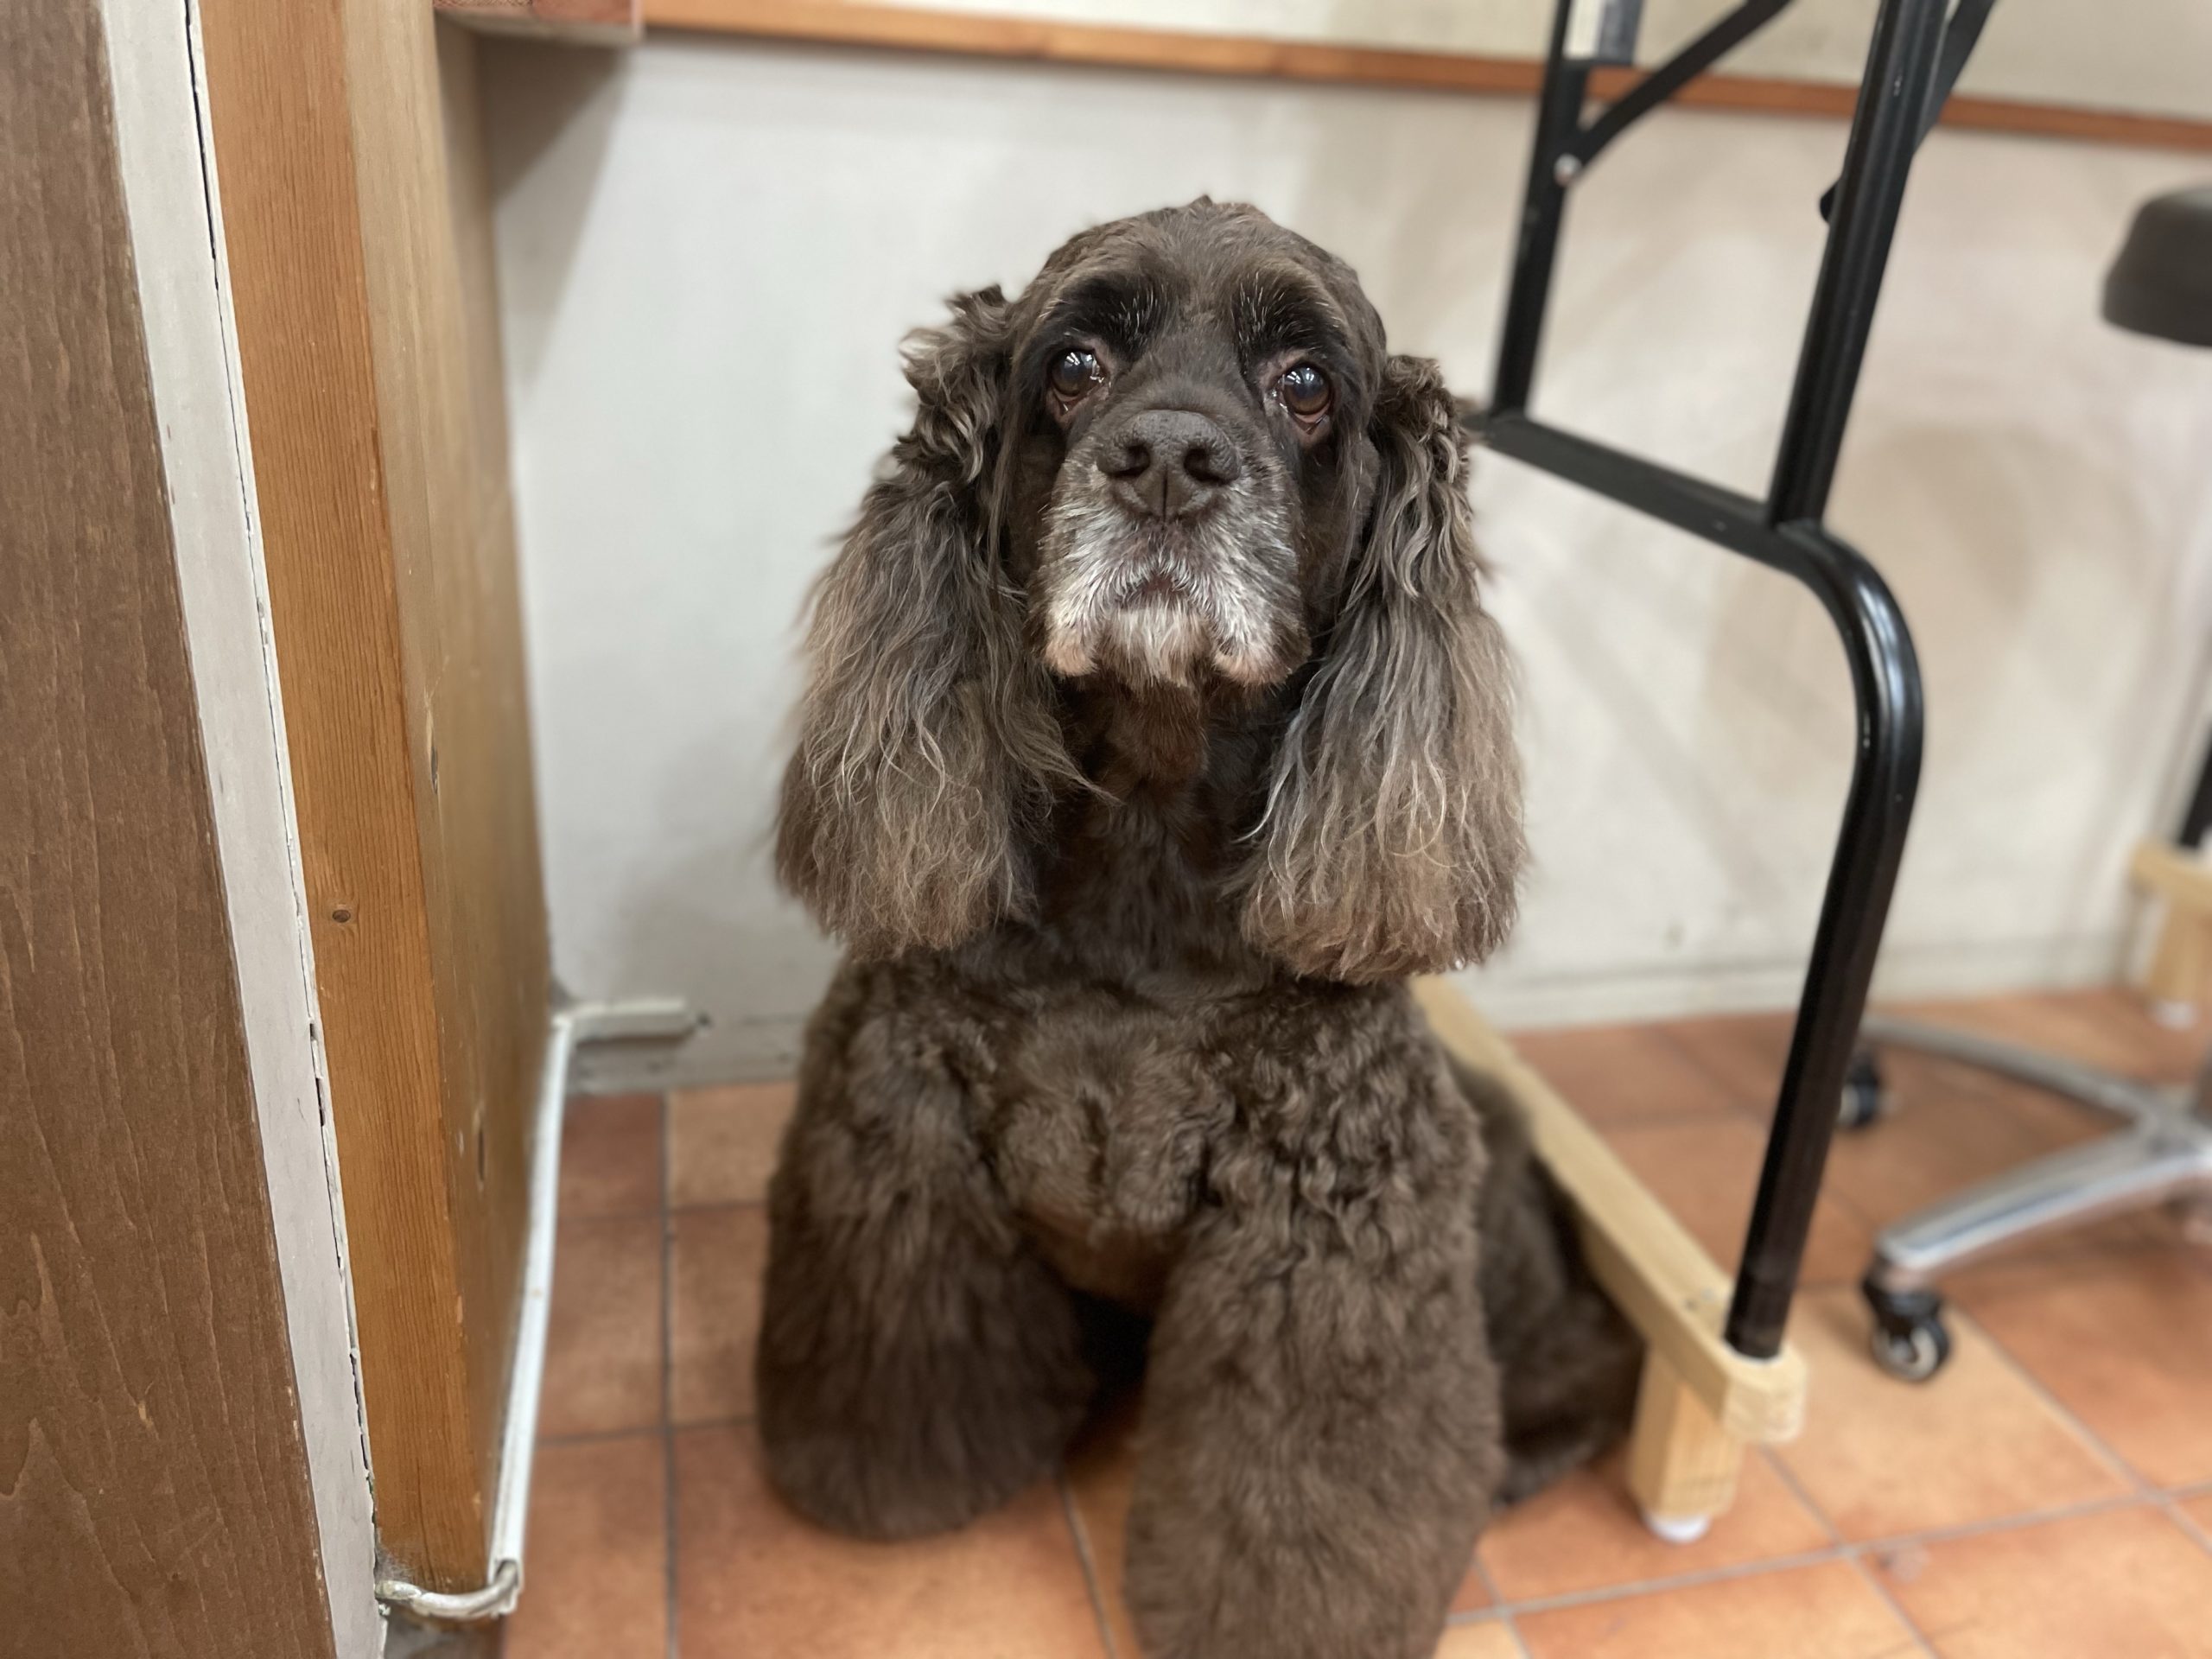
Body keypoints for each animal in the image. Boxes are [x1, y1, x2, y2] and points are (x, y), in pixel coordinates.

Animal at [757, 199, 1638, 1659]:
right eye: (1072, 365)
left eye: (1306, 384)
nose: (1169, 460)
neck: (1146, 847)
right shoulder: (901, 1121)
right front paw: (900, 1474)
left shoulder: (1327, 1219)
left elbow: (1297, 1490)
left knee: (1582, 1353)